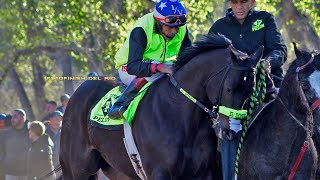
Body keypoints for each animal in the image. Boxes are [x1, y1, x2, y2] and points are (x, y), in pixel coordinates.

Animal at [58, 33, 264, 179]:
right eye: (229, 88)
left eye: (251, 90)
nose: (231, 132)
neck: (180, 116)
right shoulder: (159, 172)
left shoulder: (203, 172)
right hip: (76, 170)